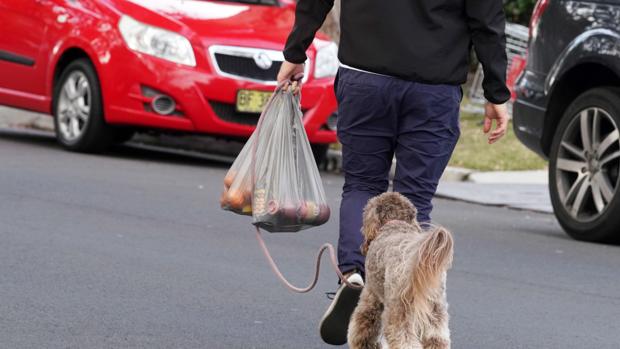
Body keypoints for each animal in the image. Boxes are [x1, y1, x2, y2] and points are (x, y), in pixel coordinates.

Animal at [346, 192, 452, 346]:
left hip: (398, 311)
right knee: (437, 340)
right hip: (435, 312)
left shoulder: (371, 294)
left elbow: (363, 325)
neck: (394, 223)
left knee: (404, 341)